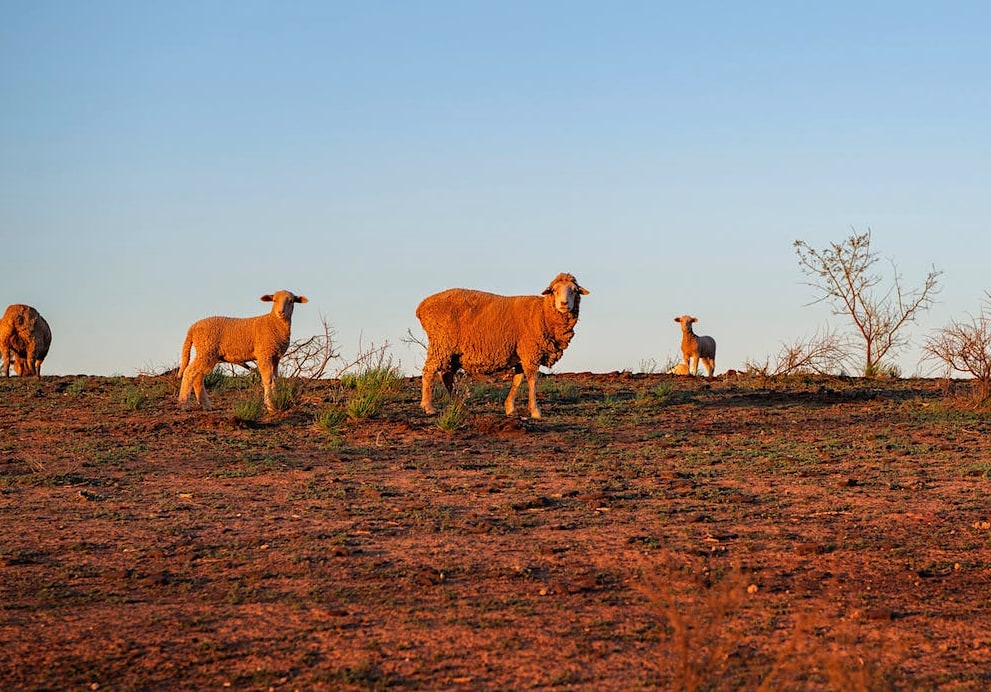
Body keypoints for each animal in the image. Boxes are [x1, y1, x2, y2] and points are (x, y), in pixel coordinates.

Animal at [178, 290, 308, 410]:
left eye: (291, 301)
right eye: (274, 300)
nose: (280, 312)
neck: (273, 323)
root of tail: (192, 328)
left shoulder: (275, 357)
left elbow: (275, 380)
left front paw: (275, 401)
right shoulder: (264, 354)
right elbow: (267, 380)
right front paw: (270, 405)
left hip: (209, 354)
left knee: (198, 377)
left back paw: (206, 405)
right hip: (206, 350)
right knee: (189, 372)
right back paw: (184, 404)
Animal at [412, 274, 584, 418]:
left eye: (574, 291)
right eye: (554, 290)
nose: (564, 304)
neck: (542, 313)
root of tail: (422, 306)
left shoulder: (520, 354)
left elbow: (517, 380)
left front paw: (510, 408)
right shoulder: (530, 351)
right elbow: (532, 380)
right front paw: (535, 411)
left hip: (452, 351)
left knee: (447, 377)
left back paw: (461, 407)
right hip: (441, 343)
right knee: (428, 372)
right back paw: (428, 407)